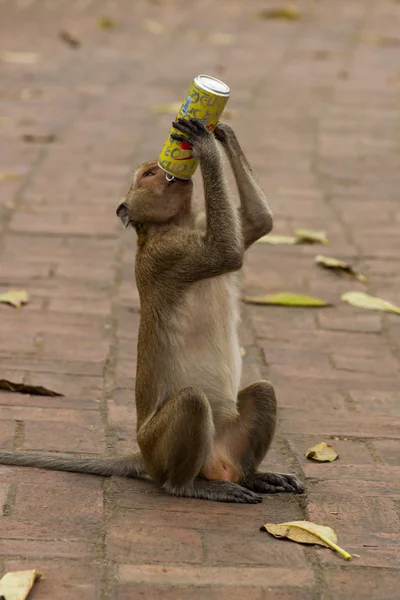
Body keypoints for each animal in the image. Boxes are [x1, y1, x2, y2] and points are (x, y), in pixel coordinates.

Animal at [0, 117, 304, 502]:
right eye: (148, 174)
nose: (169, 173)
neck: (174, 224)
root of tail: (142, 454)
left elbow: (259, 223)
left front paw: (221, 132)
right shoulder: (168, 254)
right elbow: (226, 251)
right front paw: (204, 145)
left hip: (226, 444)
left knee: (264, 390)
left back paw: (252, 476)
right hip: (158, 446)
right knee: (191, 402)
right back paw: (191, 487)